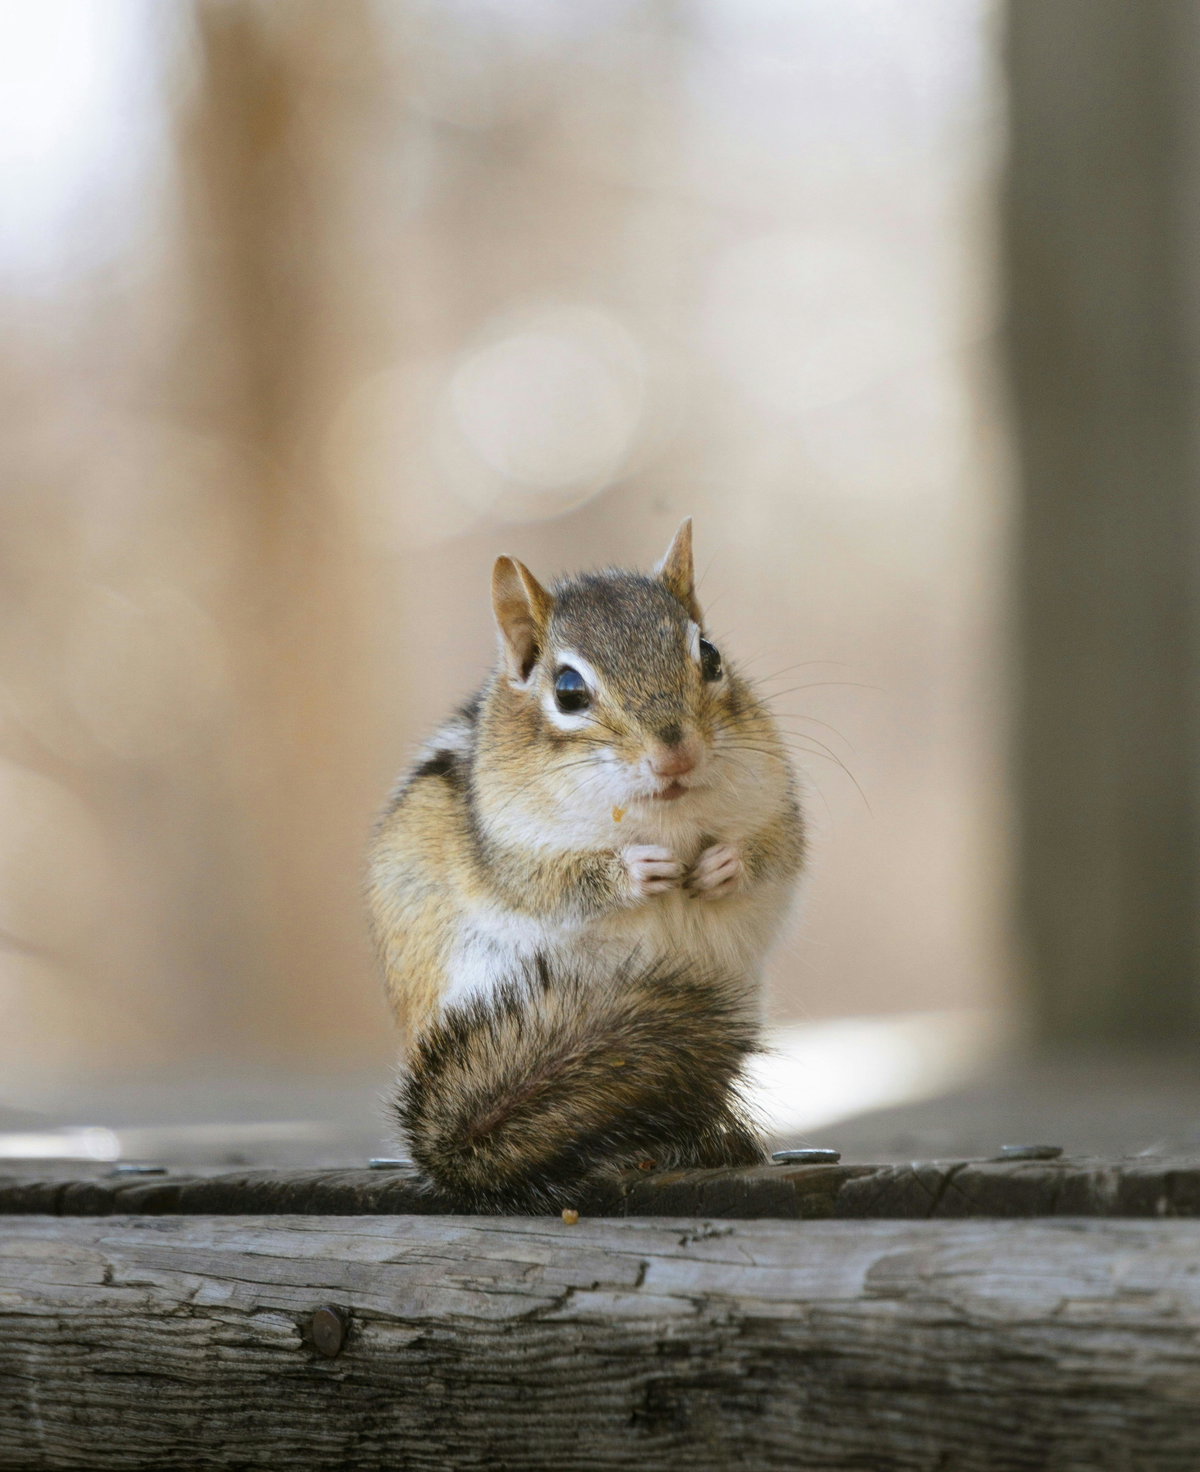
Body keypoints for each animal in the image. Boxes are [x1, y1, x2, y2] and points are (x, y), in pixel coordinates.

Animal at [366, 519, 805, 1210]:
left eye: (710, 655)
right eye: (568, 691)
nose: (676, 754)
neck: (664, 817)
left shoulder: (778, 806)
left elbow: (774, 847)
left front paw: (723, 864)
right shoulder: (510, 850)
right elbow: (557, 883)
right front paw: (637, 871)